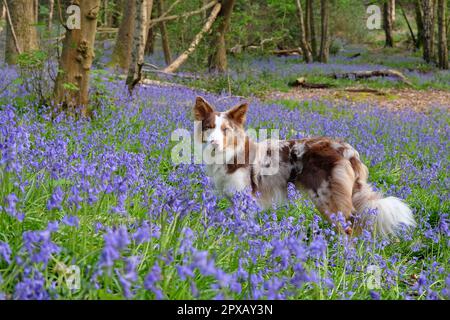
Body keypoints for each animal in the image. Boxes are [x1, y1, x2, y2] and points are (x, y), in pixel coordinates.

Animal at [192, 96, 416, 236]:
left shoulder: (246, 197)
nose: (213, 142)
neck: (228, 153)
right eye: (209, 127)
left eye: (225, 130)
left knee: (348, 230)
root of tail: (347, 150)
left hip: (327, 199)